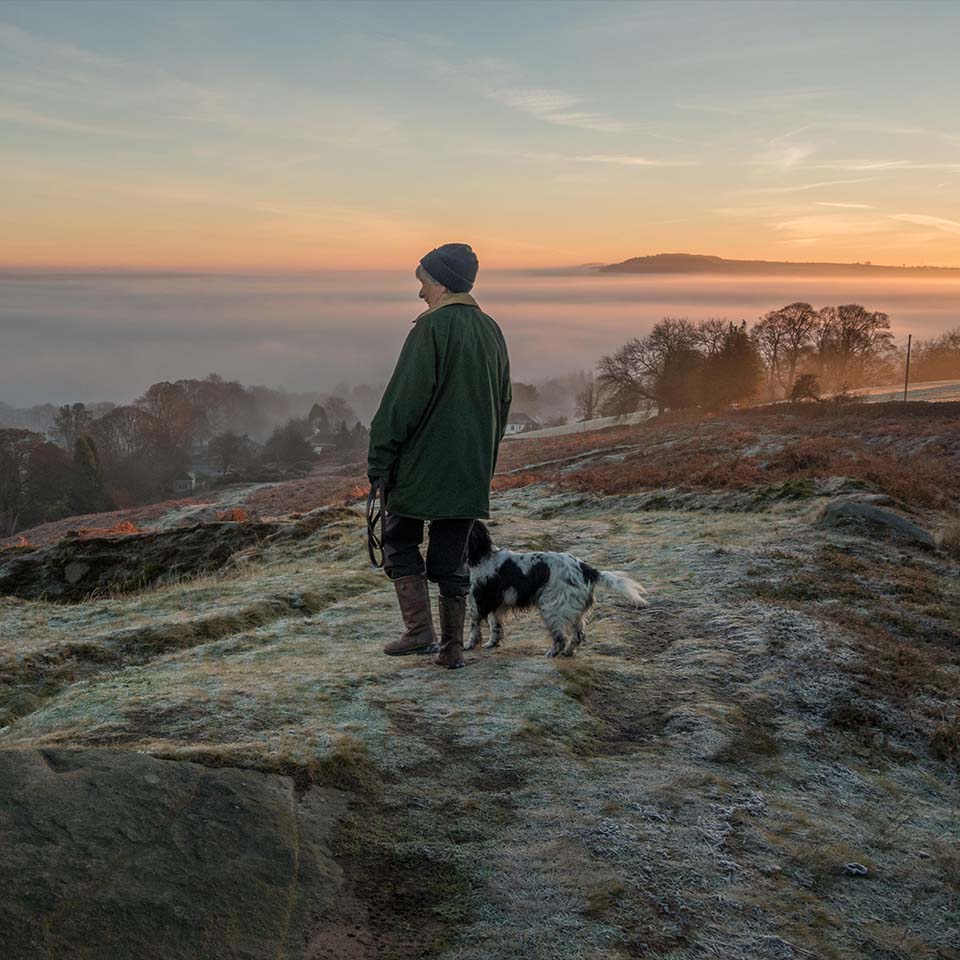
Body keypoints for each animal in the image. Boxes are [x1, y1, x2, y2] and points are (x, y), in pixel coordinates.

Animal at [464, 520, 644, 656]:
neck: (483, 556)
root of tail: (587, 570)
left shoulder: (477, 602)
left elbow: (474, 627)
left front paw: (469, 644)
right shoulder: (495, 604)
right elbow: (495, 626)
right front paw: (491, 644)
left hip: (552, 609)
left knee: (561, 638)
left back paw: (552, 653)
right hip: (573, 611)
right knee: (578, 635)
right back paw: (567, 653)